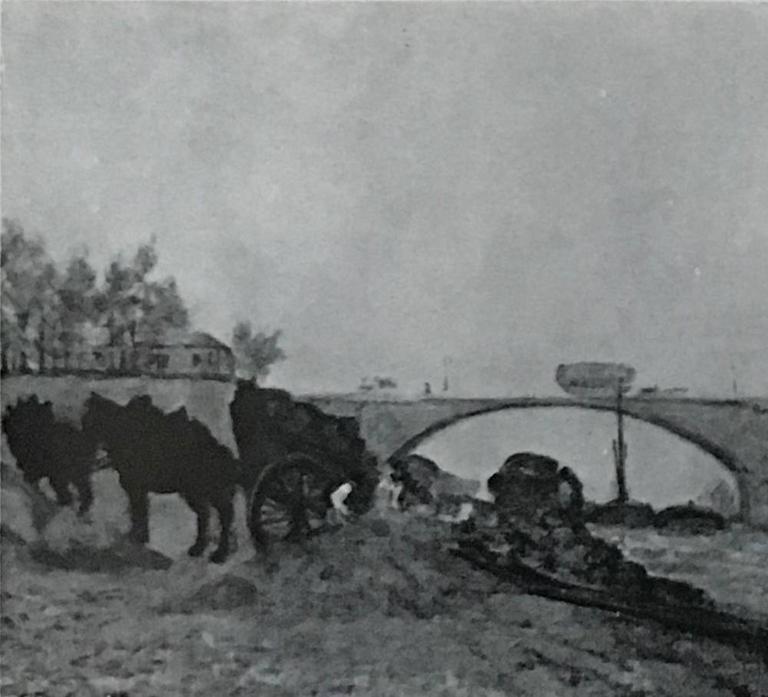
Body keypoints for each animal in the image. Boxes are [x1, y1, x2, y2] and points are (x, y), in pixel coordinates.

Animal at [83, 394, 242, 564]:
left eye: (87, 421)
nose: (83, 451)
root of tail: (226, 457)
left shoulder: (135, 488)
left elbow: (138, 512)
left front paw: (137, 538)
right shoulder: (138, 489)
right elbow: (139, 512)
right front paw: (140, 537)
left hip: (207, 492)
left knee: (224, 517)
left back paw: (219, 554)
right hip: (198, 493)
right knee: (206, 516)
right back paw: (198, 548)